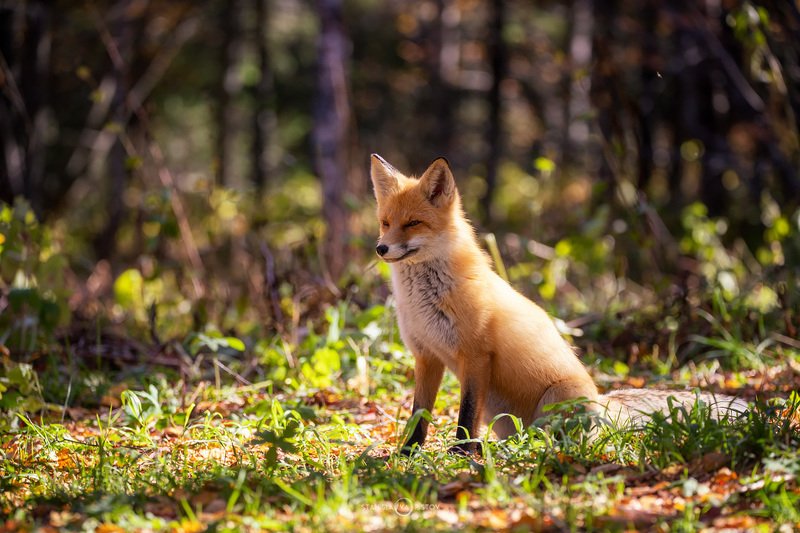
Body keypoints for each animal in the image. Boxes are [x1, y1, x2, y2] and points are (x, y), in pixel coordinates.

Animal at [369, 154, 748, 454]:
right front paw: (407, 453)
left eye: (413, 223)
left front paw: (461, 453)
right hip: (505, 418)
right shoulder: (427, 356)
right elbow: (419, 415)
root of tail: (603, 401)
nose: (381, 248)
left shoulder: (475, 356)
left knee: (558, 439)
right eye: (385, 222)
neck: (424, 301)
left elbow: (465, 414)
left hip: (555, 399)